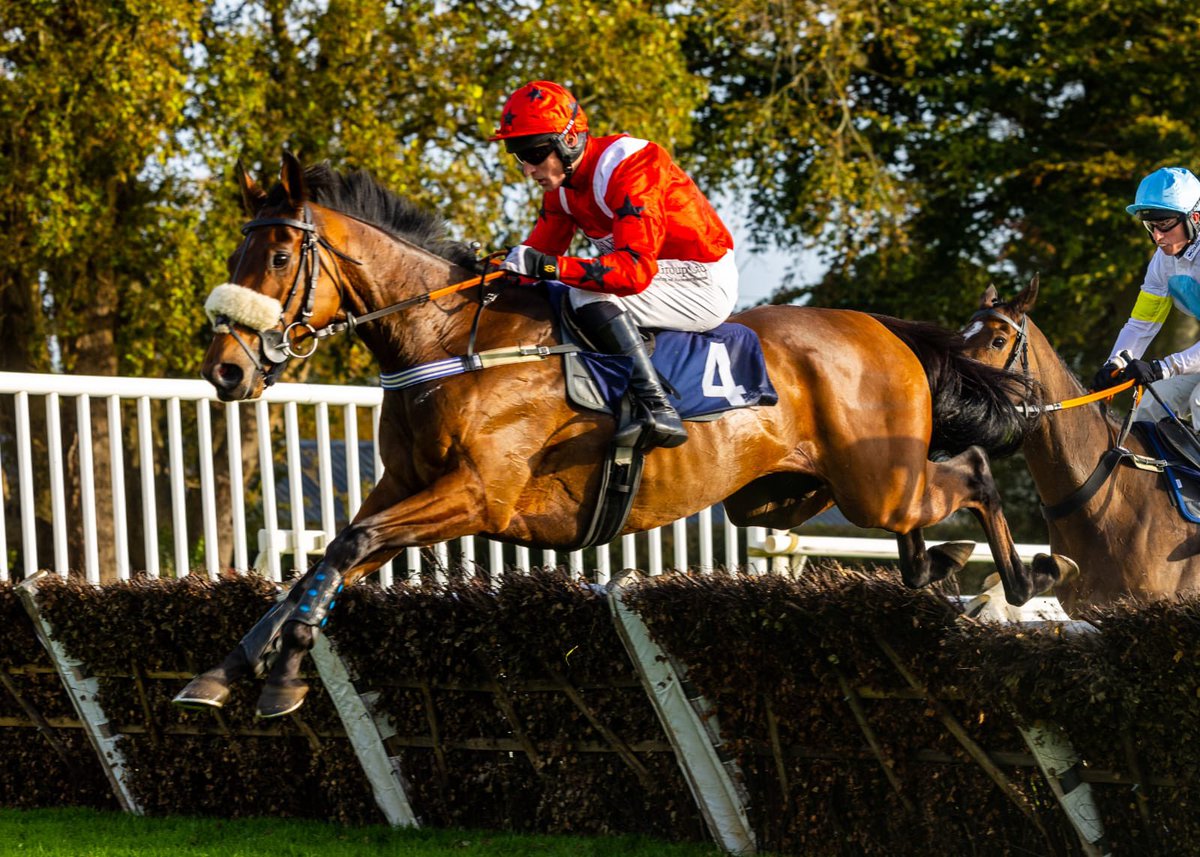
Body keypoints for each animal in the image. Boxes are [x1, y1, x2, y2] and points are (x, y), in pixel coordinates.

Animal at [177, 153, 1080, 715]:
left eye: (280, 256)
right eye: (236, 252)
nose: (225, 368)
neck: (451, 341)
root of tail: (886, 330)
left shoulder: (476, 496)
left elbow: (347, 545)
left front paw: (282, 675)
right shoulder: (406, 487)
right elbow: (328, 556)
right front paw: (225, 672)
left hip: (872, 483)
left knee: (970, 470)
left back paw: (1029, 573)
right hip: (782, 495)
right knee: (911, 518)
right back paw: (940, 566)